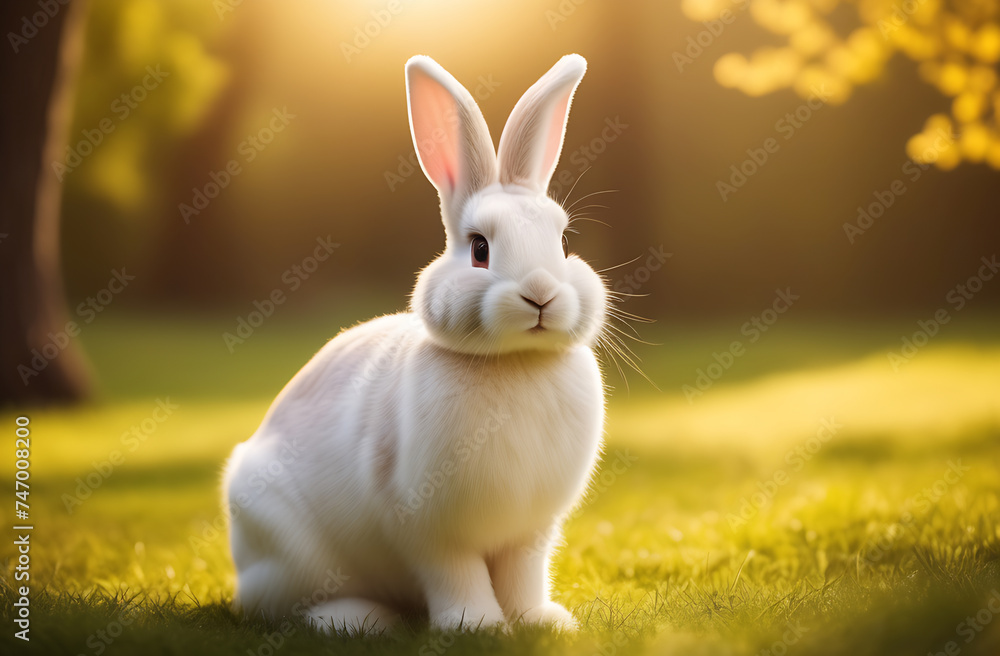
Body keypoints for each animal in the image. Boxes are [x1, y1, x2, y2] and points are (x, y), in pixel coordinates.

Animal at [224, 53, 607, 635]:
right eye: (479, 248)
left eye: (562, 242)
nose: (540, 293)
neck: (513, 362)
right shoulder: (424, 524)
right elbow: (455, 573)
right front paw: (476, 626)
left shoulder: (531, 531)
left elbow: (524, 574)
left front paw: (541, 622)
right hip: (289, 548)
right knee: (281, 606)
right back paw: (359, 620)